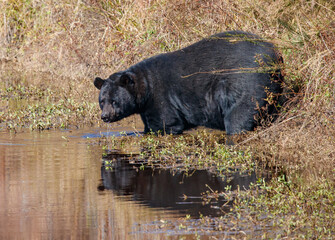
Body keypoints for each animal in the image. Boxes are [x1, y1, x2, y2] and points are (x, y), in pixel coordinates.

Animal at [94, 31, 284, 136]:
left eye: (114, 101)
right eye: (102, 101)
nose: (105, 116)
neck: (144, 88)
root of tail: (274, 54)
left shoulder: (161, 99)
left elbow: (166, 124)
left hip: (245, 82)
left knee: (239, 116)